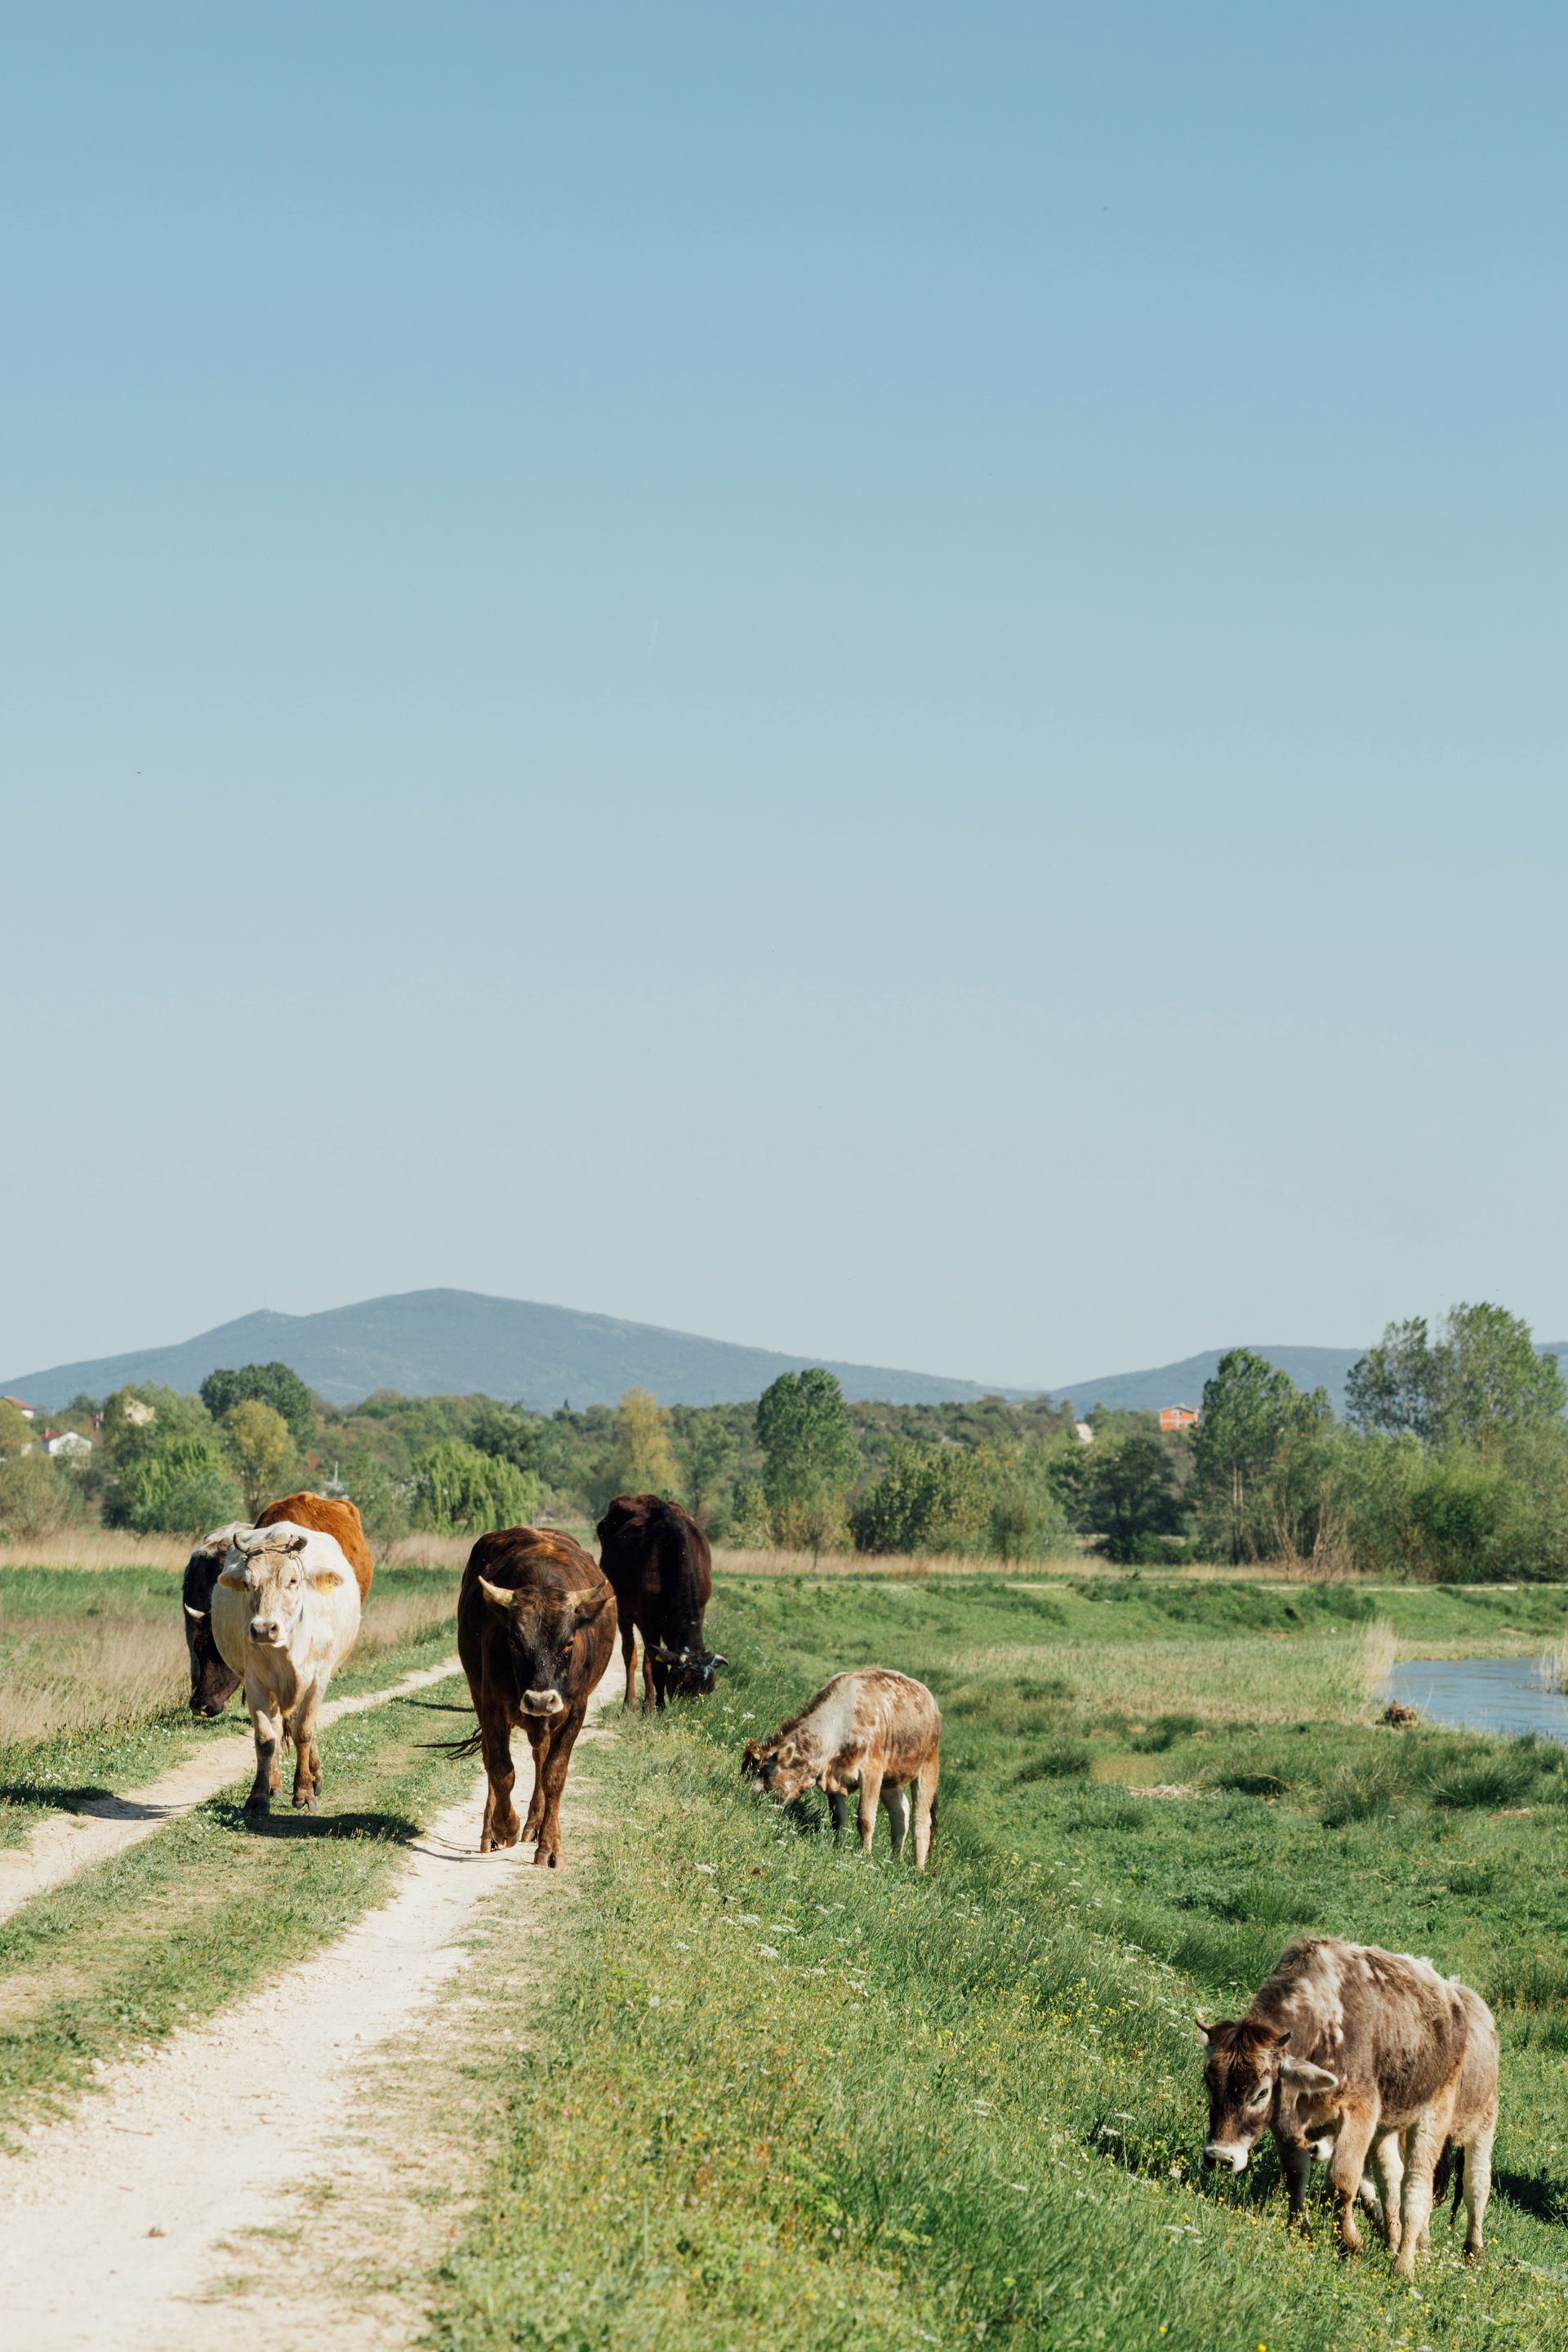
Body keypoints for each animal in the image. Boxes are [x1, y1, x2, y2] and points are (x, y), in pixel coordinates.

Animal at [210, 1521, 363, 1816]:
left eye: (292, 1581)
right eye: (247, 1583)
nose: (262, 1629)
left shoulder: (318, 1680)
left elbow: (304, 1732)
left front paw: (304, 1791)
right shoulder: (255, 1682)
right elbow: (265, 1738)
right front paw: (259, 1795)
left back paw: (313, 1777)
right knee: (279, 1729)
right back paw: (275, 1784)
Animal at [455, 1526, 616, 1867]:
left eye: (569, 1643)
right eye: (514, 1642)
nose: (540, 1700)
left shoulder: (576, 1709)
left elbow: (554, 1774)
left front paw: (551, 1845)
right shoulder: (490, 1702)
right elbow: (500, 1768)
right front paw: (504, 1827)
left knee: (542, 1760)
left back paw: (536, 1824)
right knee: (495, 1758)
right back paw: (494, 1831)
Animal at [595, 1493, 725, 1710]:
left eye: (708, 1690)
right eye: (682, 1686)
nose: (689, 1714)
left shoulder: (700, 1608)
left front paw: (653, 1704)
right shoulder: (647, 1621)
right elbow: (656, 1667)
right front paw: (659, 1708)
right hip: (622, 1612)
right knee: (630, 1654)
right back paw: (631, 1702)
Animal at [741, 1668, 940, 1870]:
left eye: (765, 1775)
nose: (747, 1800)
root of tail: (929, 1699)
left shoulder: (872, 1771)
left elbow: (865, 1818)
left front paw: (864, 1856)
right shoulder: (833, 1774)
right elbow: (838, 1817)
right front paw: (838, 1846)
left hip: (929, 1766)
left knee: (922, 1821)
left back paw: (918, 1869)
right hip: (891, 1778)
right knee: (900, 1812)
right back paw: (894, 1861)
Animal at [1198, 1935, 1480, 2278]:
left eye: (1261, 2093)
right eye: (1208, 2083)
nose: (1219, 2157)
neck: (1325, 2027)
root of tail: (1452, 1996)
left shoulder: (1359, 2112)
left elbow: (1340, 2183)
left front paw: (1350, 2244)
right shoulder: (1288, 2122)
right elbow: (1296, 2175)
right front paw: (1301, 2231)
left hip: (1433, 2115)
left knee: (1415, 2189)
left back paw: (1403, 2266)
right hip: (1386, 2128)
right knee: (1391, 2178)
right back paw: (1391, 2241)